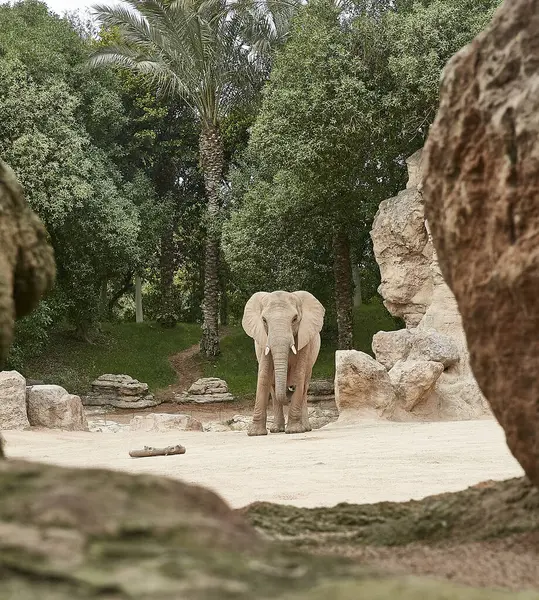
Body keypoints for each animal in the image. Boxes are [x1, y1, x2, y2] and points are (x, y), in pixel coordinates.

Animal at [244, 290, 324, 436]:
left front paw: (294, 431)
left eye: (295, 319)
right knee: (273, 388)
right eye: (264, 320)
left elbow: (299, 375)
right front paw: (255, 433)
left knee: (305, 386)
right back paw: (276, 429)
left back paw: (305, 428)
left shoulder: (305, 341)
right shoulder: (263, 341)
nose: (291, 388)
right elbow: (264, 376)